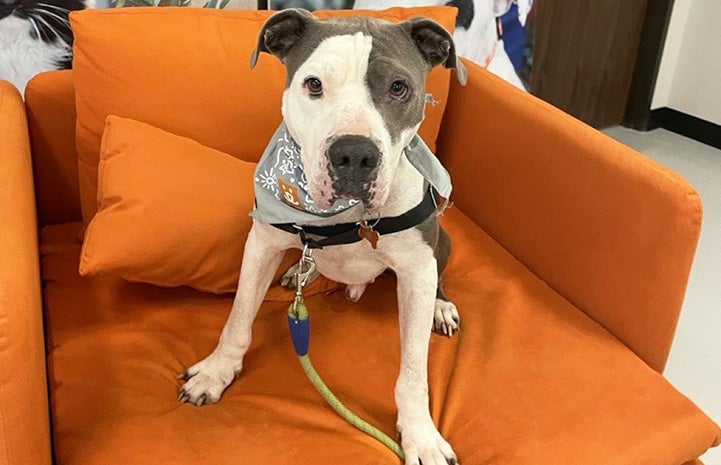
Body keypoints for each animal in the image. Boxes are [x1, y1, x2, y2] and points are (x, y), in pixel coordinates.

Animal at [177, 9, 464, 462]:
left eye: (399, 87)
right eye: (314, 84)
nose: (355, 154)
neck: (347, 217)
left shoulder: (417, 268)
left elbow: (413, 371)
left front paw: (421, 436)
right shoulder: (261, 245)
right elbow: (238, 318)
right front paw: (216, 372)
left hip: (442, 245)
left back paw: (441, 306)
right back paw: (301, 271)